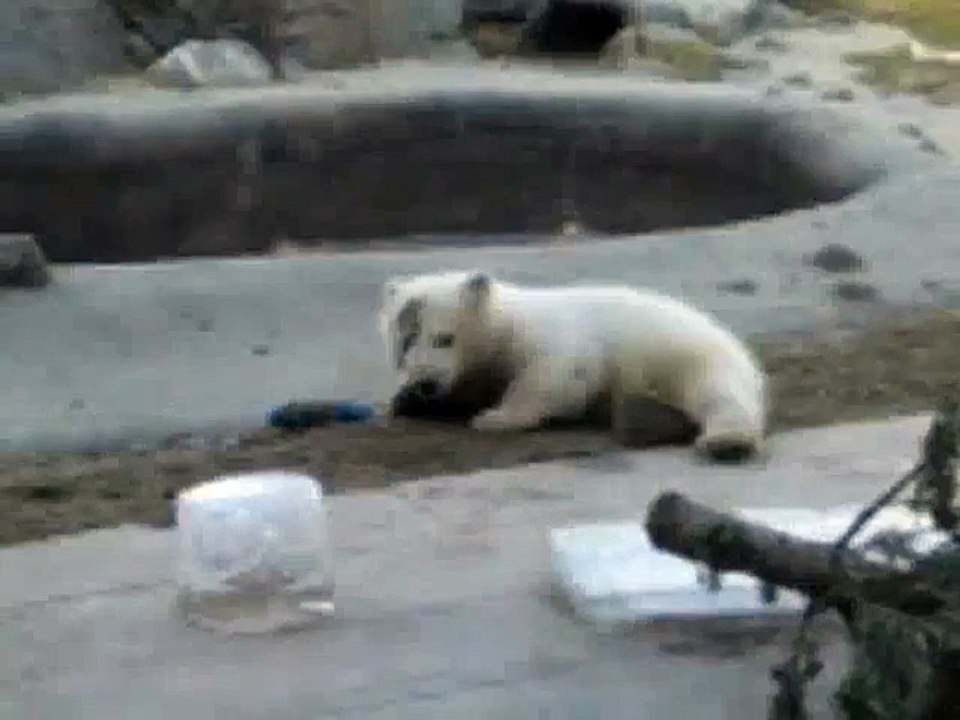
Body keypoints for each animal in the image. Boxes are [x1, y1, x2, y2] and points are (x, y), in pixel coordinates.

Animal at [378, 270, 768, 462]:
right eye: (405, 342)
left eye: (444, 338)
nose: (426, 384)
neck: (506, 326)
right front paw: (407, 401)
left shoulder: (548, 337)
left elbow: (555, 378)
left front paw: (495, 418)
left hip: (690, 356)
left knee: (718, 394)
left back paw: (726, 441)